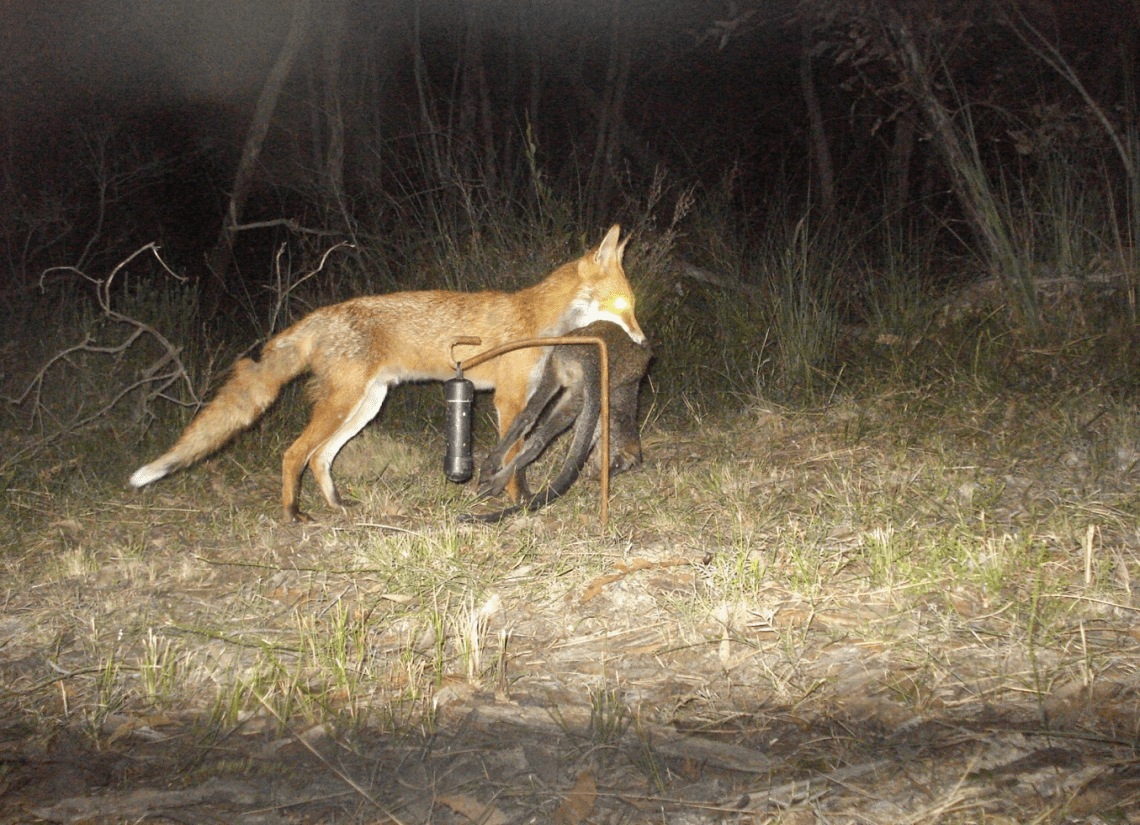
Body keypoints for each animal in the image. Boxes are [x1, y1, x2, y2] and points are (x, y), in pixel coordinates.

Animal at [469, 319, 651, 523]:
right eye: (617, 465)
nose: (598, 476)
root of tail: (593, 359)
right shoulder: (604, 418)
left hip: (555, 367)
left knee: (527, 417)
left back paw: (493, 463)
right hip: (578, 388)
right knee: (538, 440)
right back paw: (499, 480)